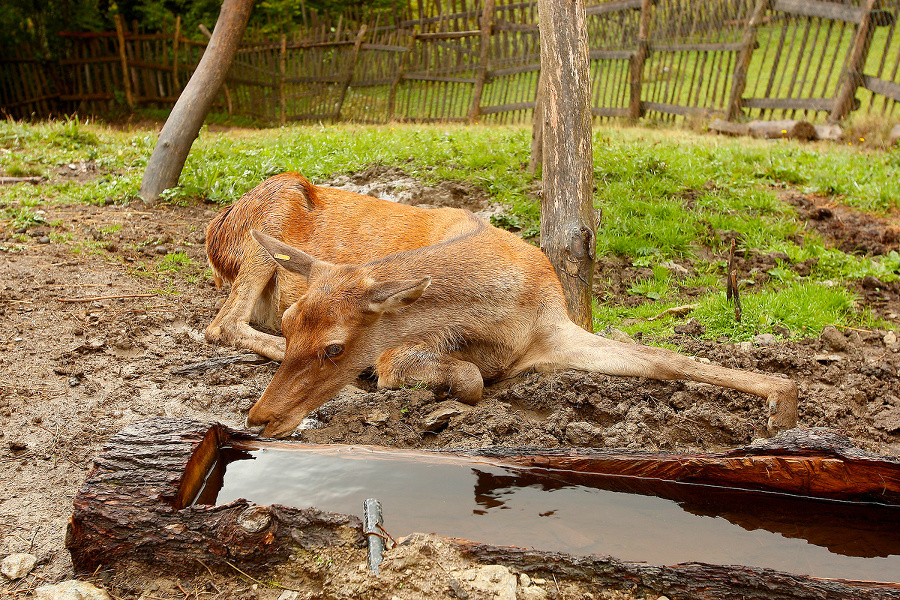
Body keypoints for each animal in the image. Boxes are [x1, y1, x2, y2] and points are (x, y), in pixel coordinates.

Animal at [207, 171, 800, 438]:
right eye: (291, 323)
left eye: (333, 348)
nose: (259, 418)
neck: (501, 321)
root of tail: (217, 232)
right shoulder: (397, 353)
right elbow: (464, 377)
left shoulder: (554, 328)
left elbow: (666, 359)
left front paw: (782, 403)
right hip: (269, 215)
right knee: (220, 326)